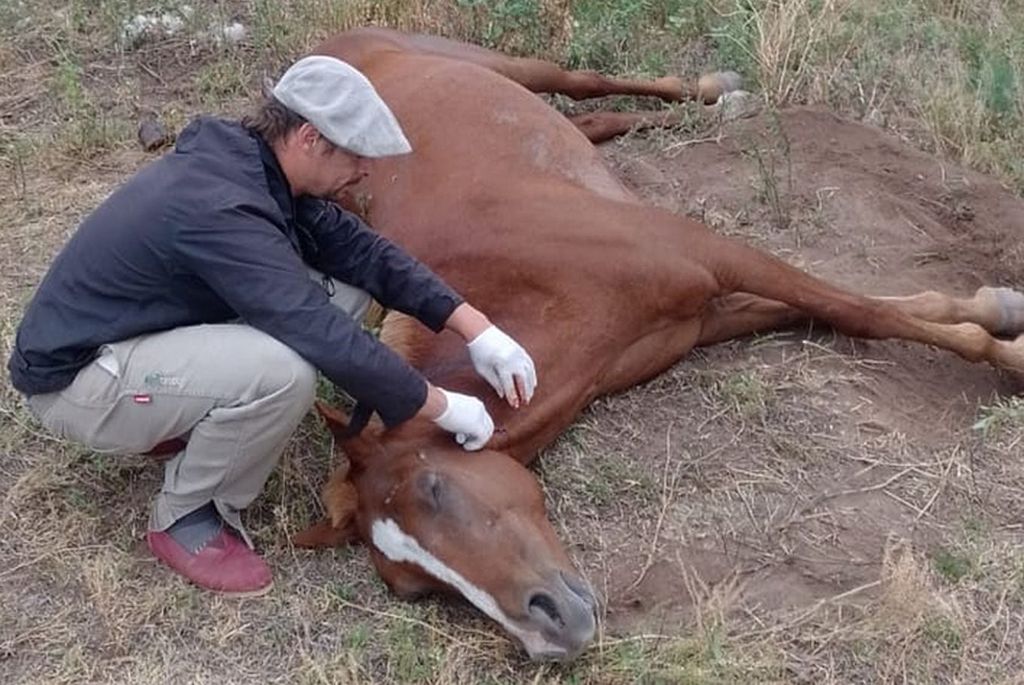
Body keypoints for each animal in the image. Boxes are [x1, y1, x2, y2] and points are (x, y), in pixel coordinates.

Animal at [292, 27, 1024, 661]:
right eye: (413, 588)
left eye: (436, 488)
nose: (550, 632)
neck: (530, 281)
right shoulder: (703, 314)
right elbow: (858, 310)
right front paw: (993, 311)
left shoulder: (709, 255)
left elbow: (858, 309)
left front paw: (1007, 345)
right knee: (600, 122)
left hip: (499, 63)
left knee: (581, 82)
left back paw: (721, 91)